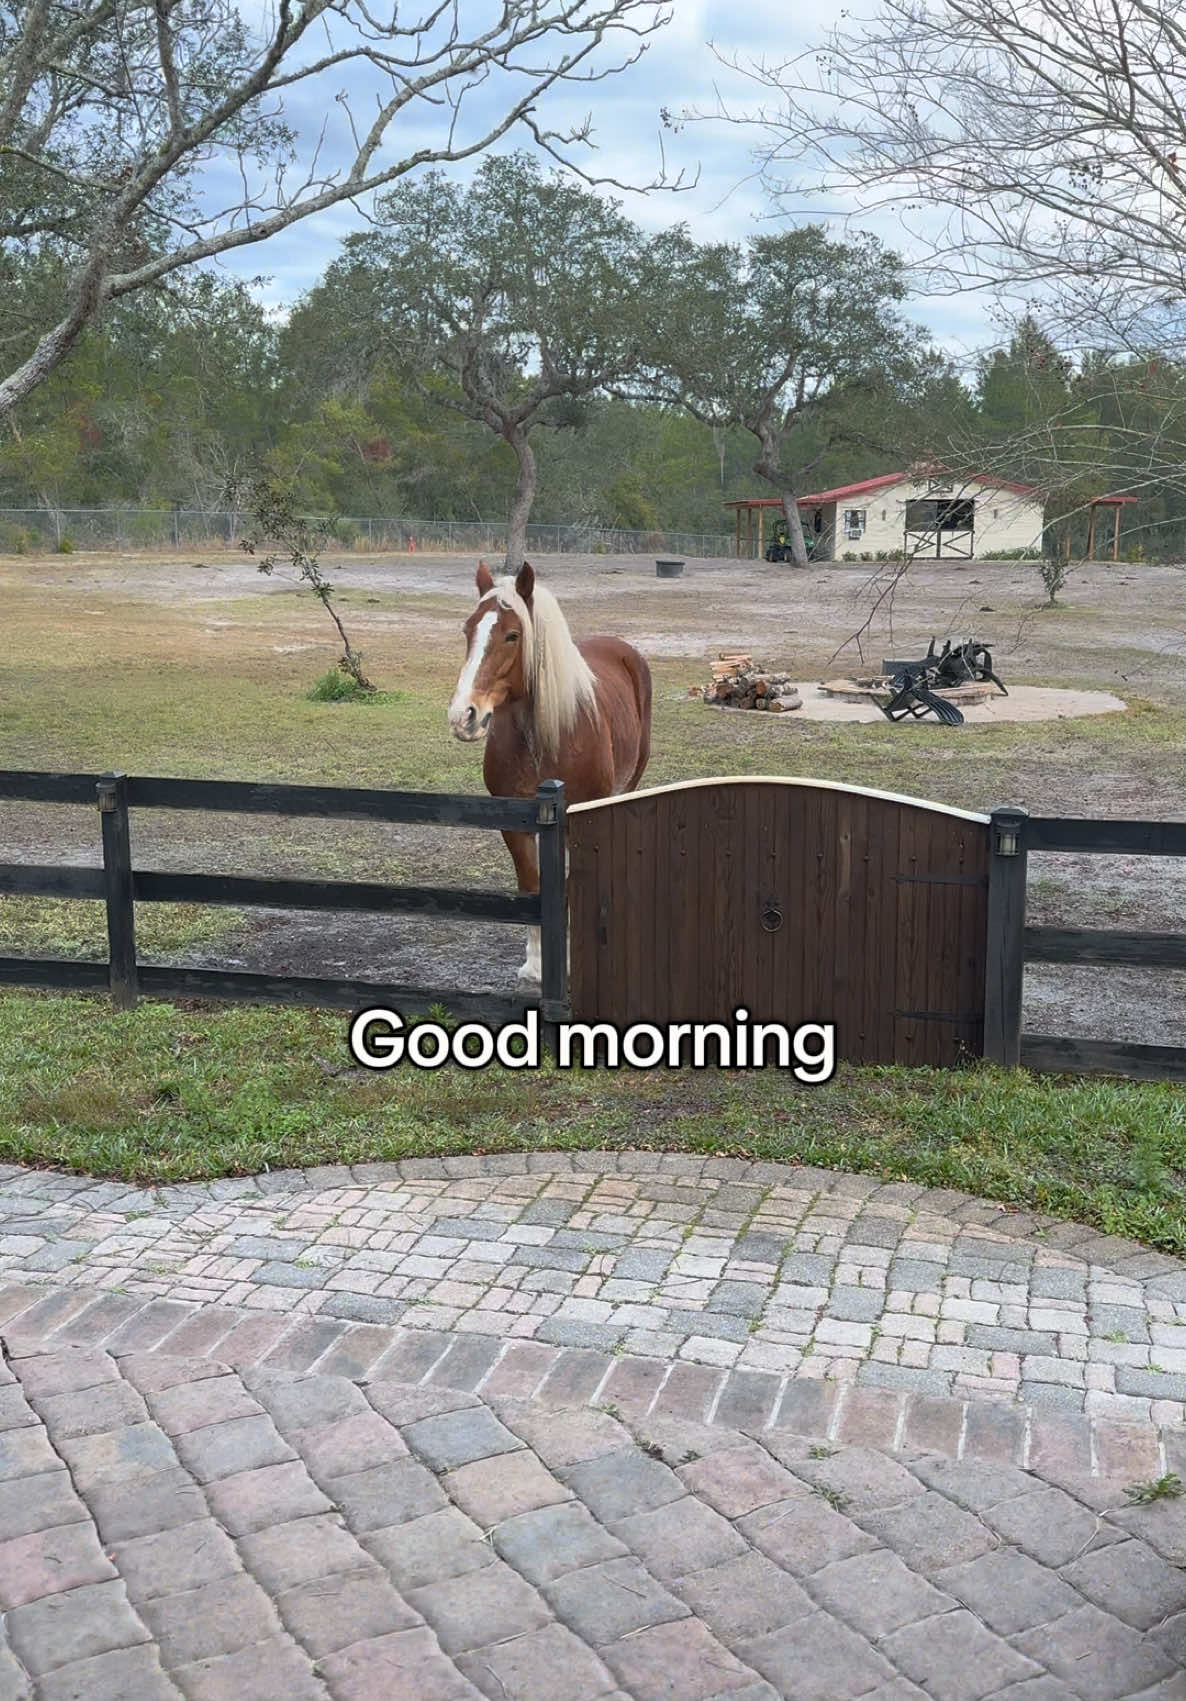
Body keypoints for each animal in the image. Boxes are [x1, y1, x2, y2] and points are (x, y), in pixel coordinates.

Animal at [449, 557, 653, 986]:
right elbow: (532, 887)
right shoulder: (515, 823)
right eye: (468, 629)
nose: (464, 716)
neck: (543, 737)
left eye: (512, 635)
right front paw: (536, 964)